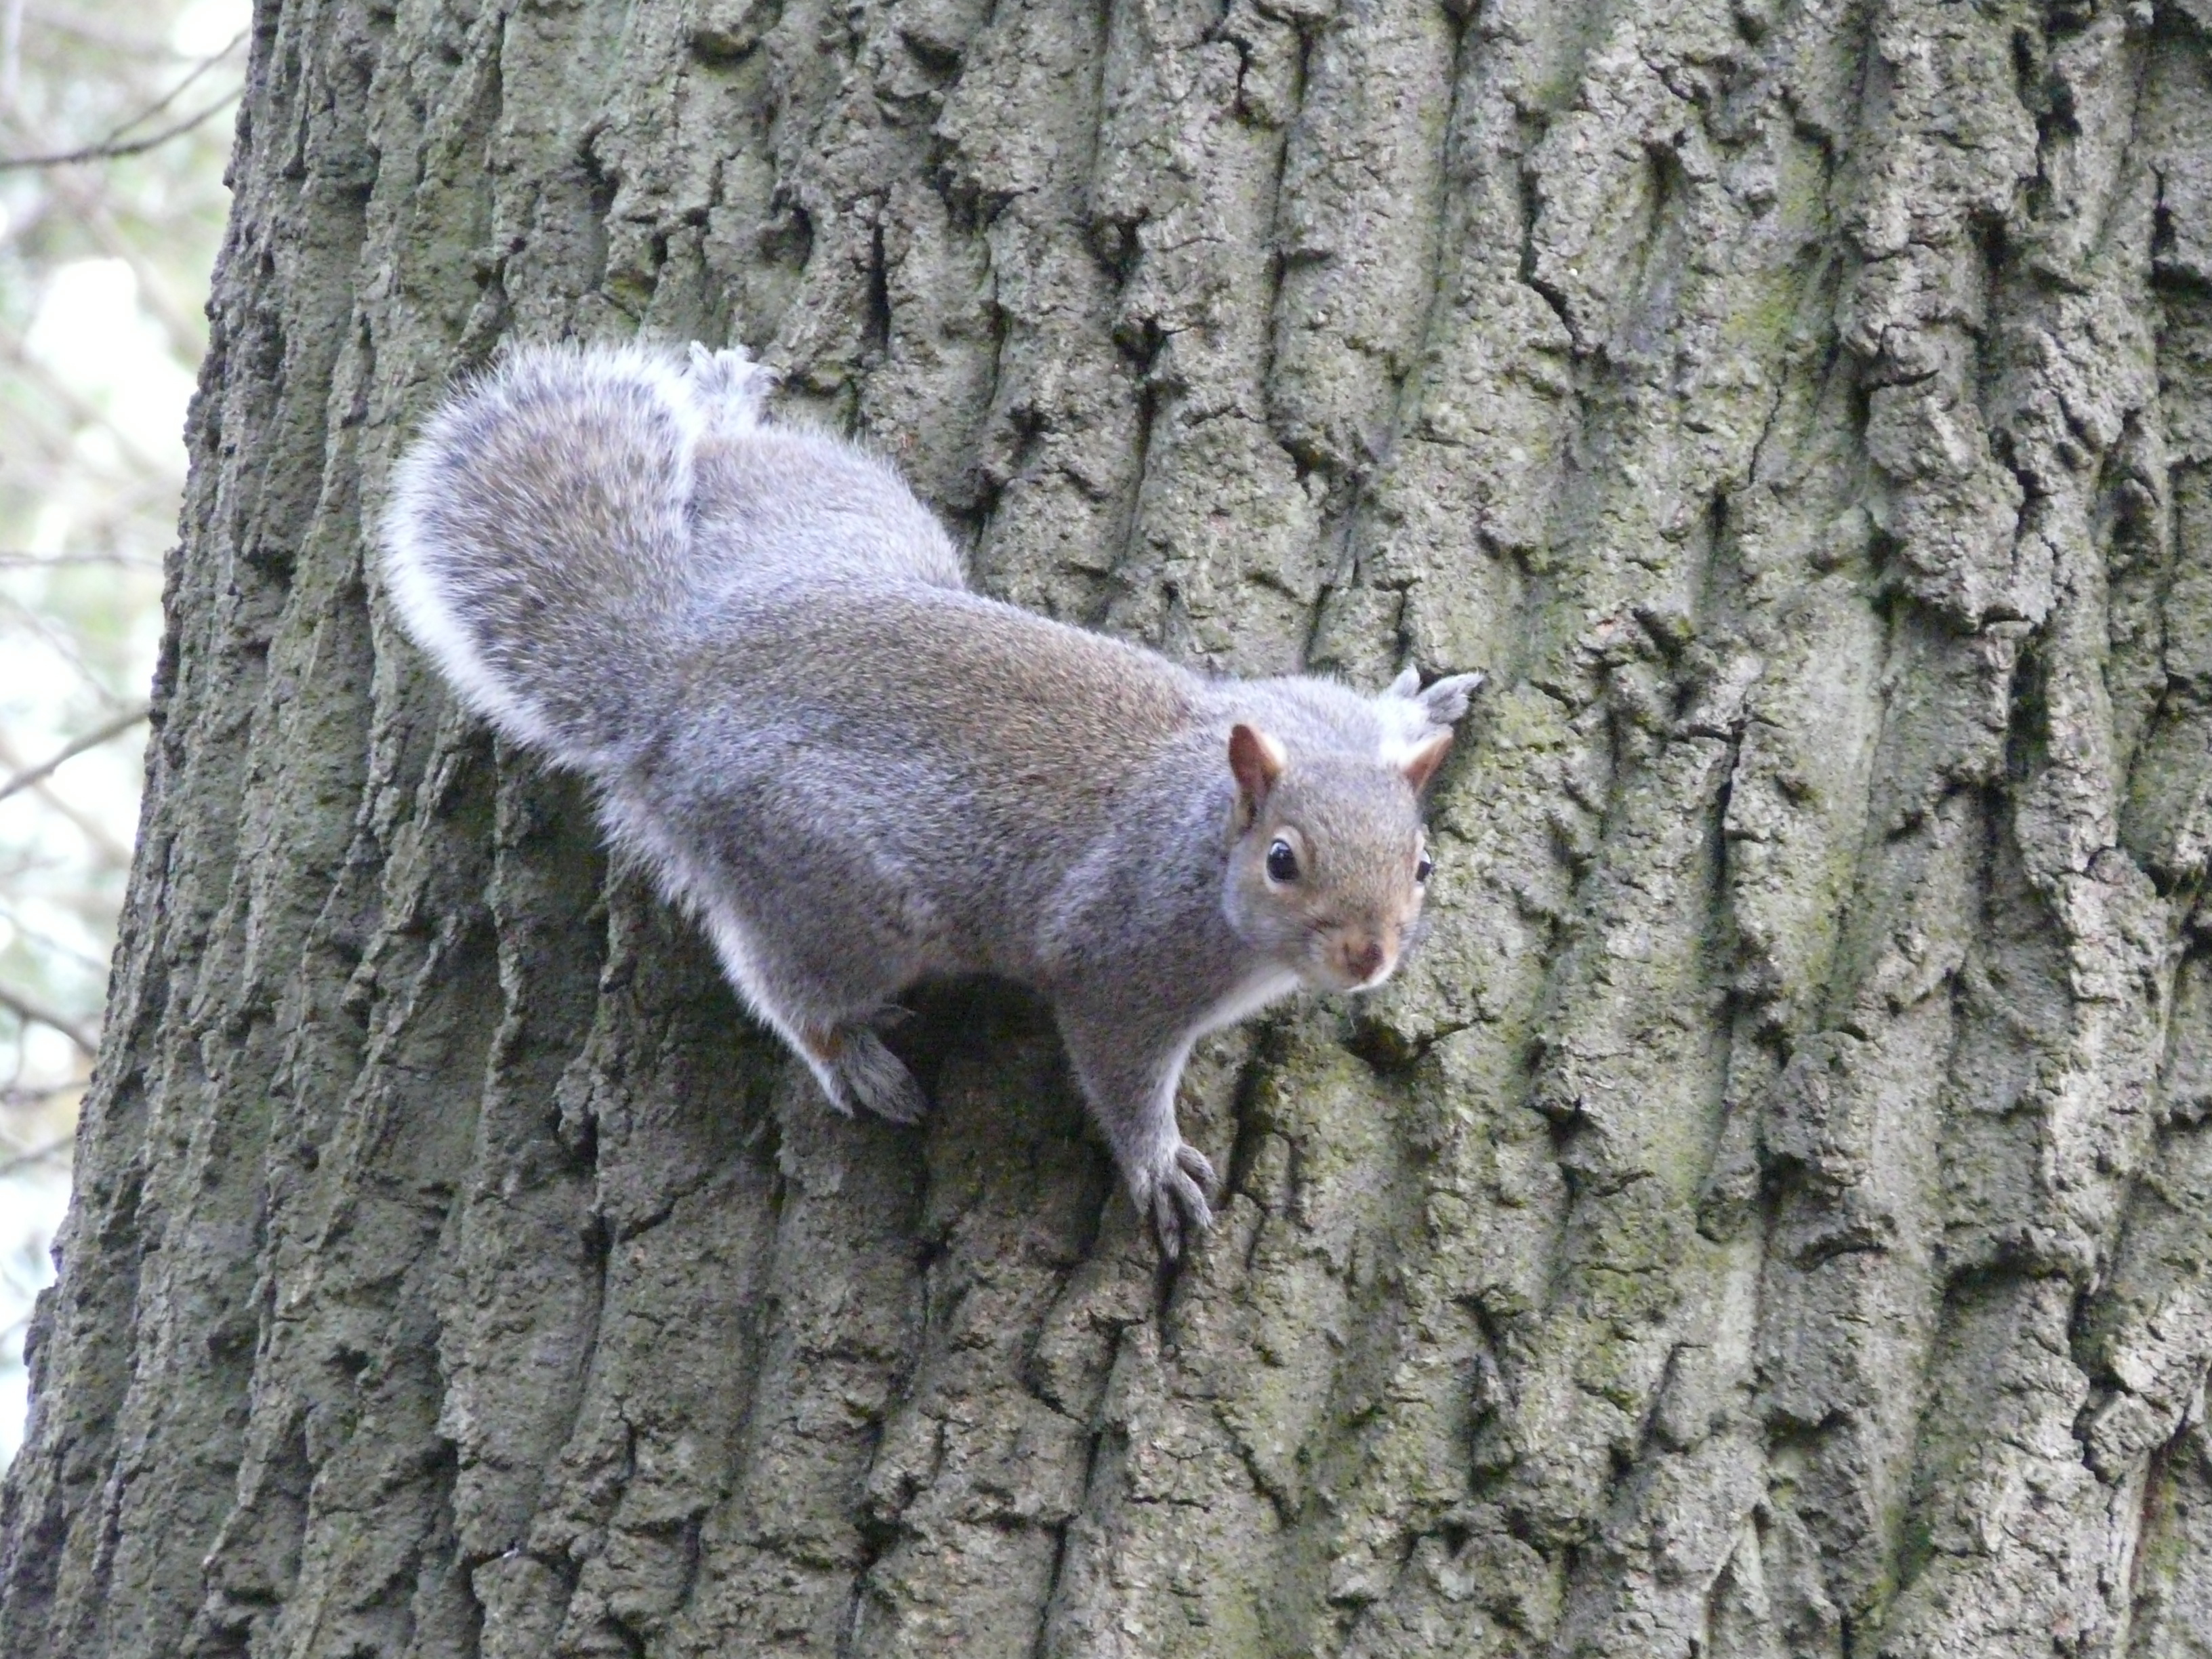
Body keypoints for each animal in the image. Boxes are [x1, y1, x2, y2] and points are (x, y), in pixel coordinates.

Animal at [384, 345, 1486, 1256]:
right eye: (1284, 862)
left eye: (1423, 864)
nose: (1369, 957)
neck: (1206, 833)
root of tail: (685, 668)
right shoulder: (1125, 966)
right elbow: (1120, 1073)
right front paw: (1157, 1168)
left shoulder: (1300, 712)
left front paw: (1417, 705)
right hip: (836, 886)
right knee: (786, 984)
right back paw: (852, 1059)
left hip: (847, 521)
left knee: (748, 460)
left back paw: (721, 400)